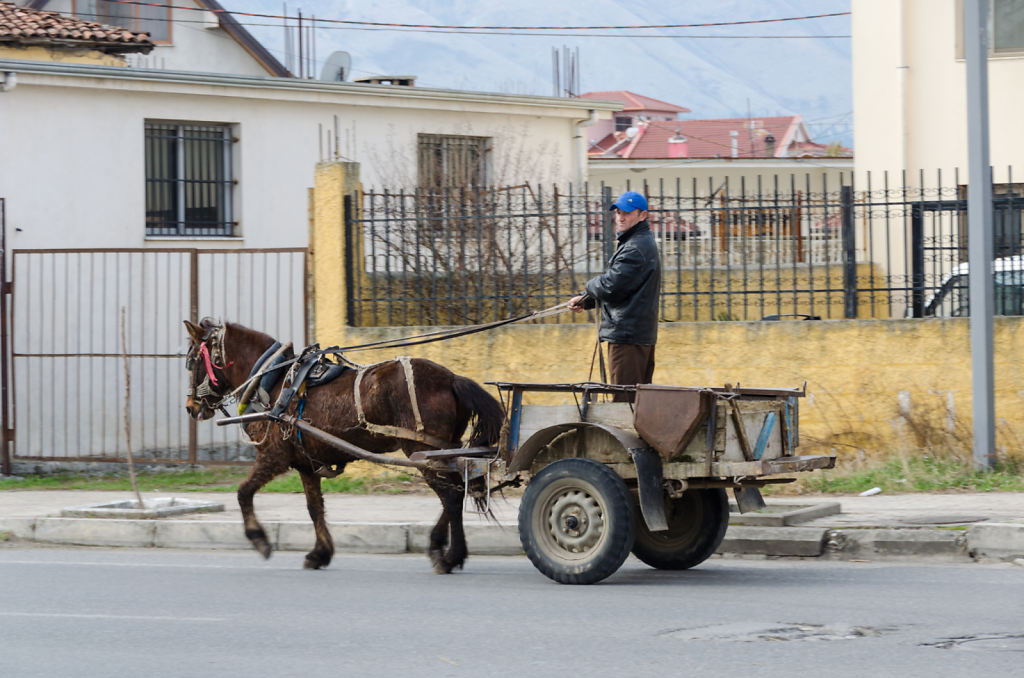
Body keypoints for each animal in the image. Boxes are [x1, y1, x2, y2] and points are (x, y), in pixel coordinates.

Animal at [186, 319, 505, 573]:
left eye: (192, 361)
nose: (191, 407)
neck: (274, 382)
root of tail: (451, 378)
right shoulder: (306, 463)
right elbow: (314, 507)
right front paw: (320, 553)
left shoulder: (273, 456)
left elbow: (243, 492)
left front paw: (259, 539)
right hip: (441, 451)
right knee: (457, 491)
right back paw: (440, 547)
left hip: (421, 450)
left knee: (450, 496)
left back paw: (450, 556)